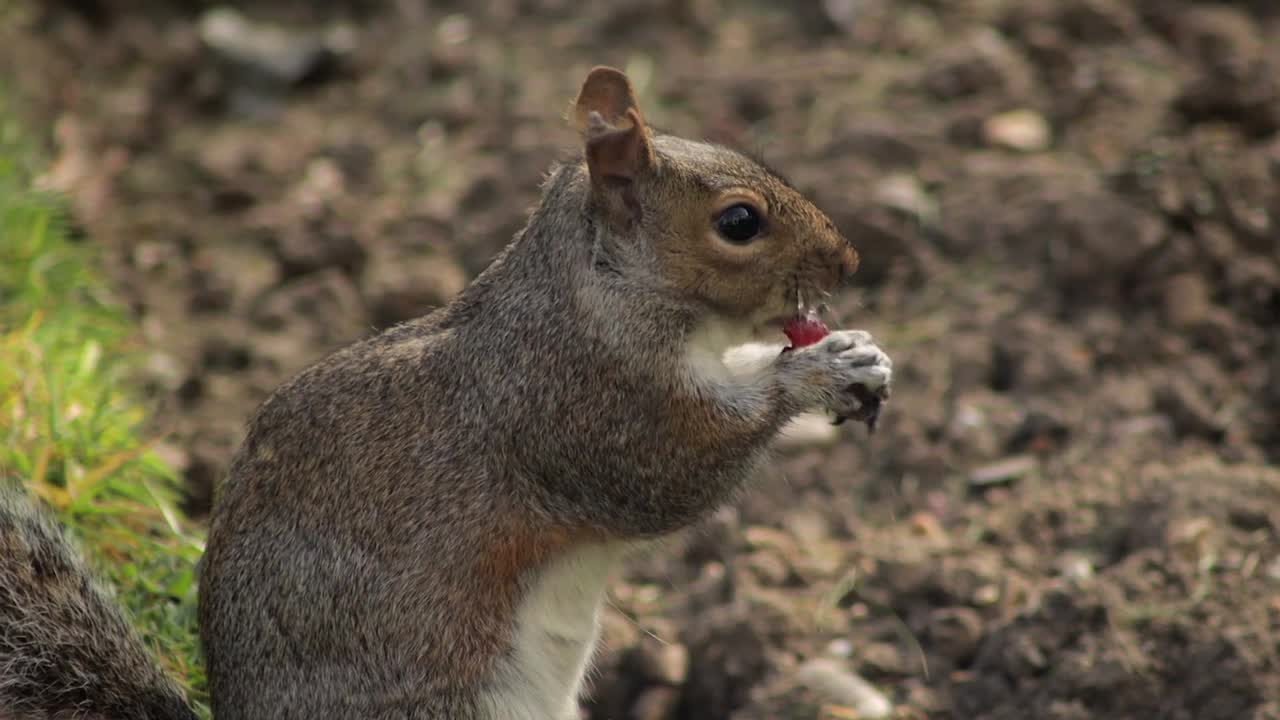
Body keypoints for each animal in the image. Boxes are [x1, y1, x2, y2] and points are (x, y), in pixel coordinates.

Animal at [0, 66, 891, 720]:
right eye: (739, 222)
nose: (850, 261)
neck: (598, 289)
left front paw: (857, 351)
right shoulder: (578, 403)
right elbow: (675, 473)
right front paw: (814, 374)